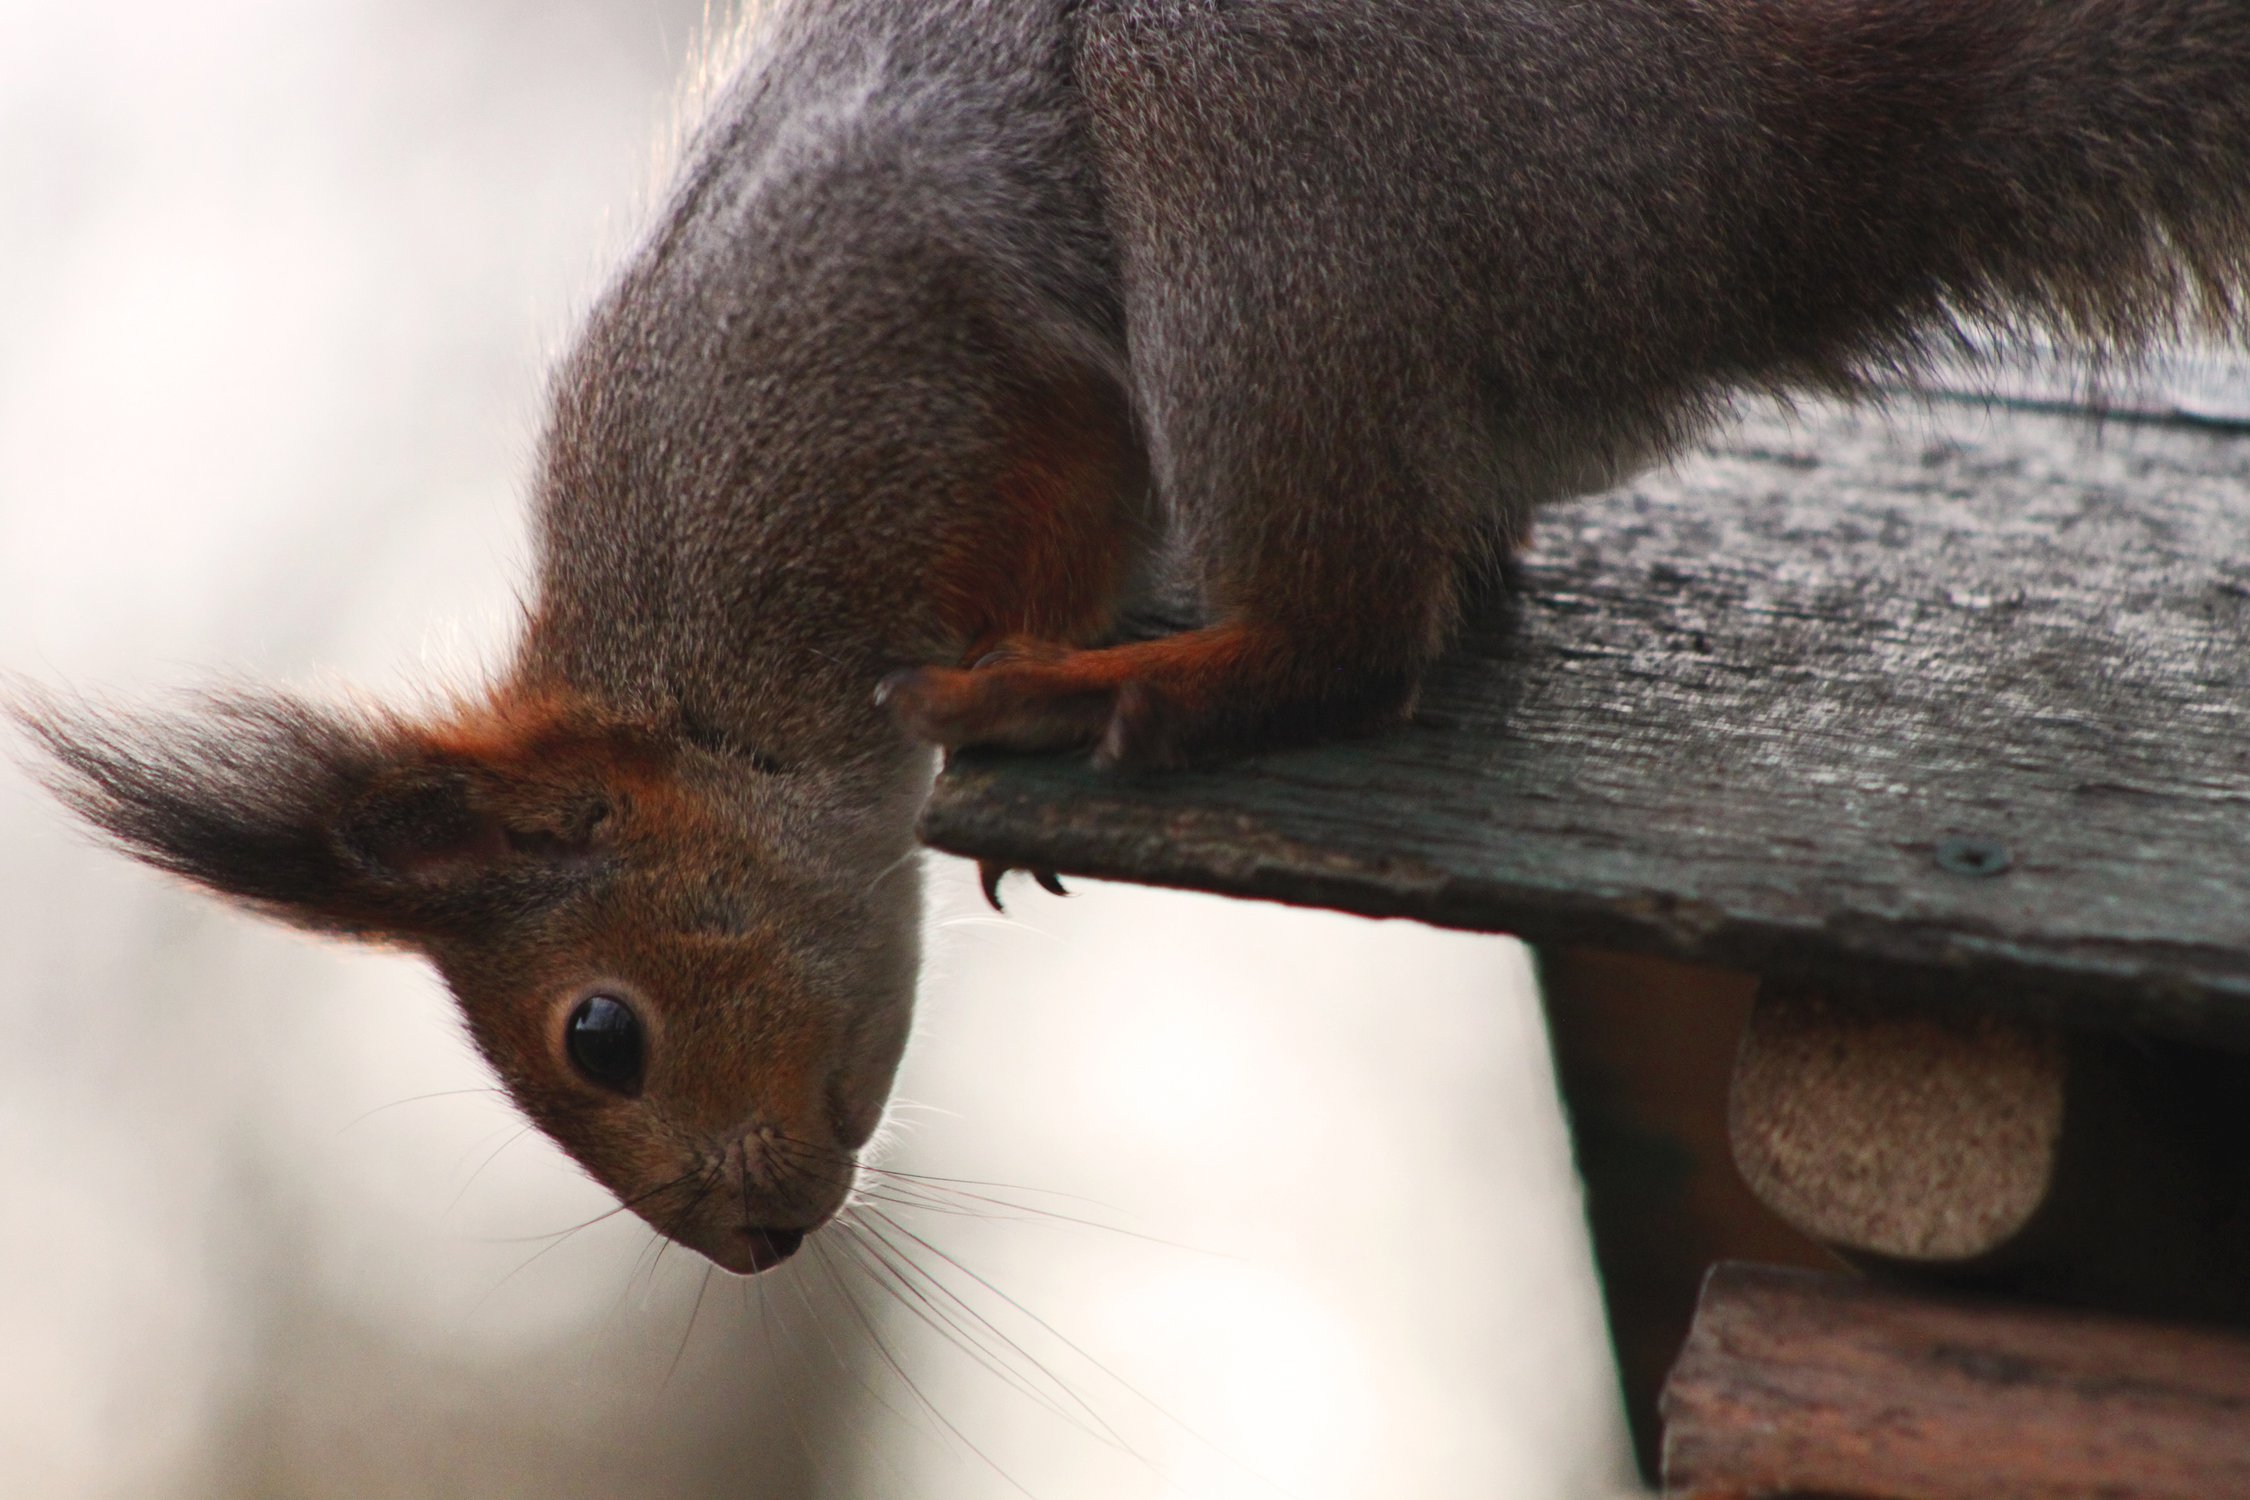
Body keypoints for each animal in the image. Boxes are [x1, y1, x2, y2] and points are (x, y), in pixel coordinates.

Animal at [13, 0, 2250, 1277]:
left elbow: (1060, 465)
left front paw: (1021, 654)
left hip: (1278, 162)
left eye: (600, 1035)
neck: (714, 664)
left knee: (1349, 629)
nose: (745, 1249)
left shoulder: (909, 356)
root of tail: (1747, 182)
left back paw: (1118, 686)